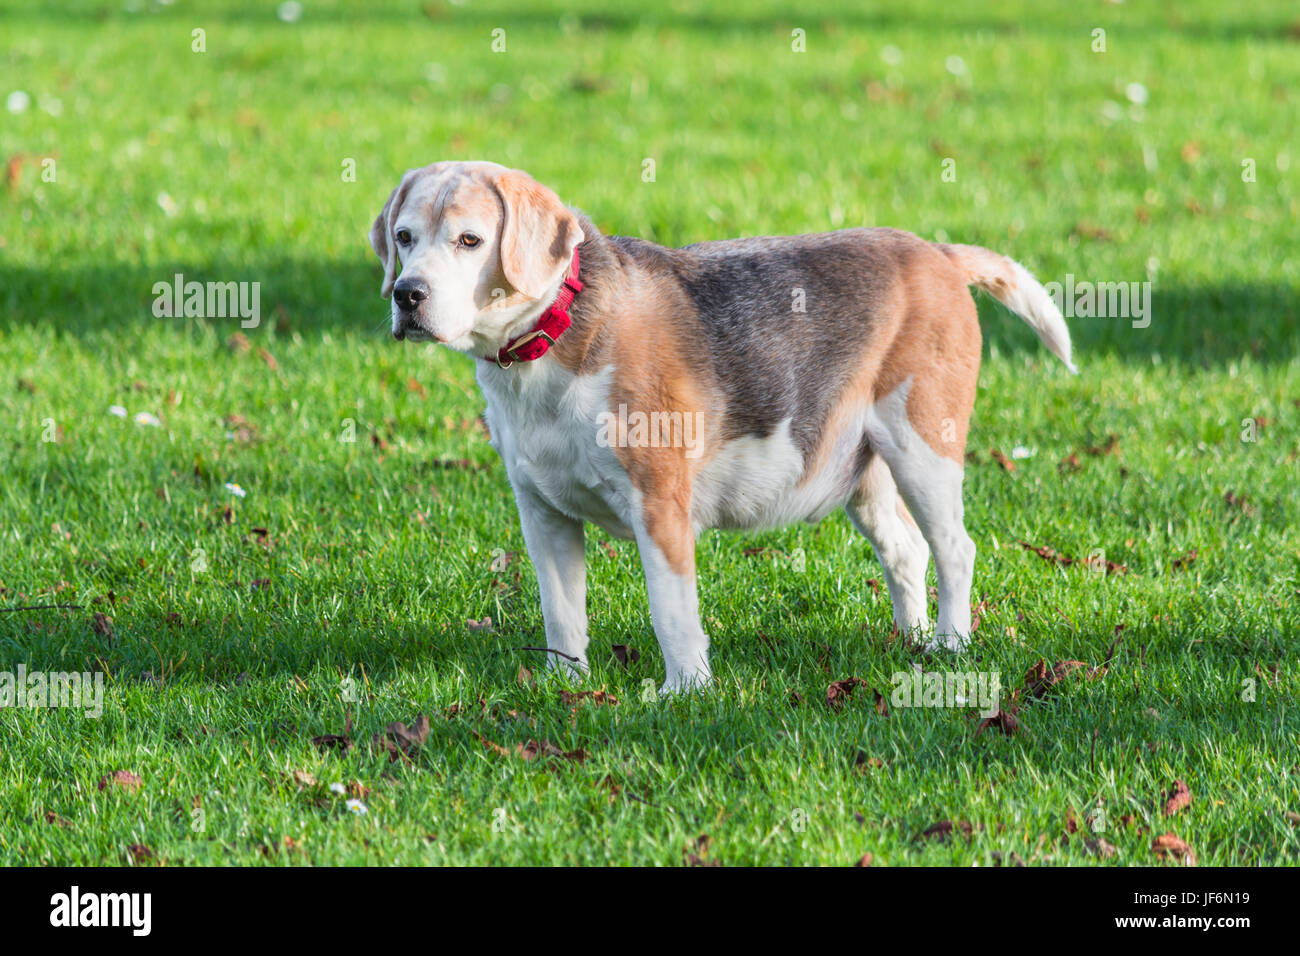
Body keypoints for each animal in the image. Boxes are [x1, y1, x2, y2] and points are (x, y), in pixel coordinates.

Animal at [374, 160, 1076, 691]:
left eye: (469, 241)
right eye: (405, 237)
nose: (407, 295)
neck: (556, 332)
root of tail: (938, 253)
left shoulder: (659, 507)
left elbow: (672, 612)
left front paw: (685, 691)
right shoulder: (544, 514)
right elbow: (561, 613)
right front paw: (565, 686)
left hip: (923, 448)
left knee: (955, 549)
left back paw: (951, 647)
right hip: (864, 469)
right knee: (907, 550)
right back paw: (911, 642)